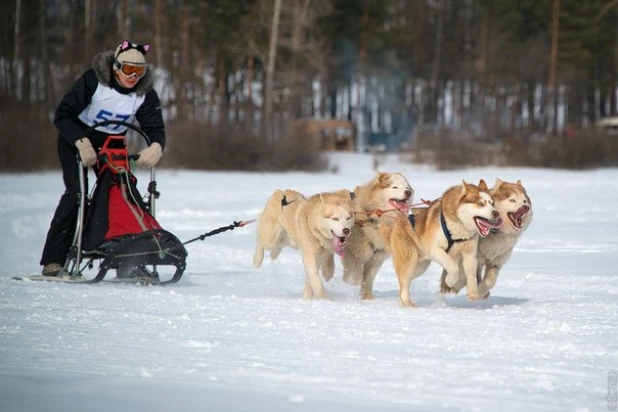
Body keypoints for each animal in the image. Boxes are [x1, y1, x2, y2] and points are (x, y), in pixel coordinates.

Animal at [342, 171, 414, 300]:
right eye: (395, 187)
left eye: (407, 187)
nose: (408, 192)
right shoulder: (352, 251)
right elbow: (354, 274)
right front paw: (351, 280)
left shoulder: (377, 257)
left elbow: (368, 277)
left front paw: (366, 294)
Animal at [380, 179, 500, 308]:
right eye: (480, 203)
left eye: (492, 203)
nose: (496, 213)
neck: (458, 227)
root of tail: (398, 220)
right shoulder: (434, 249)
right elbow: (453, 266)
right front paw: (450, 280)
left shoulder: (470, 254)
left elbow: (471, 274)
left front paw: (473, 293)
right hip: (409, 262)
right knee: (404, 283)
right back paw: (408, 303)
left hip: (420, 267)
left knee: (405, 282)